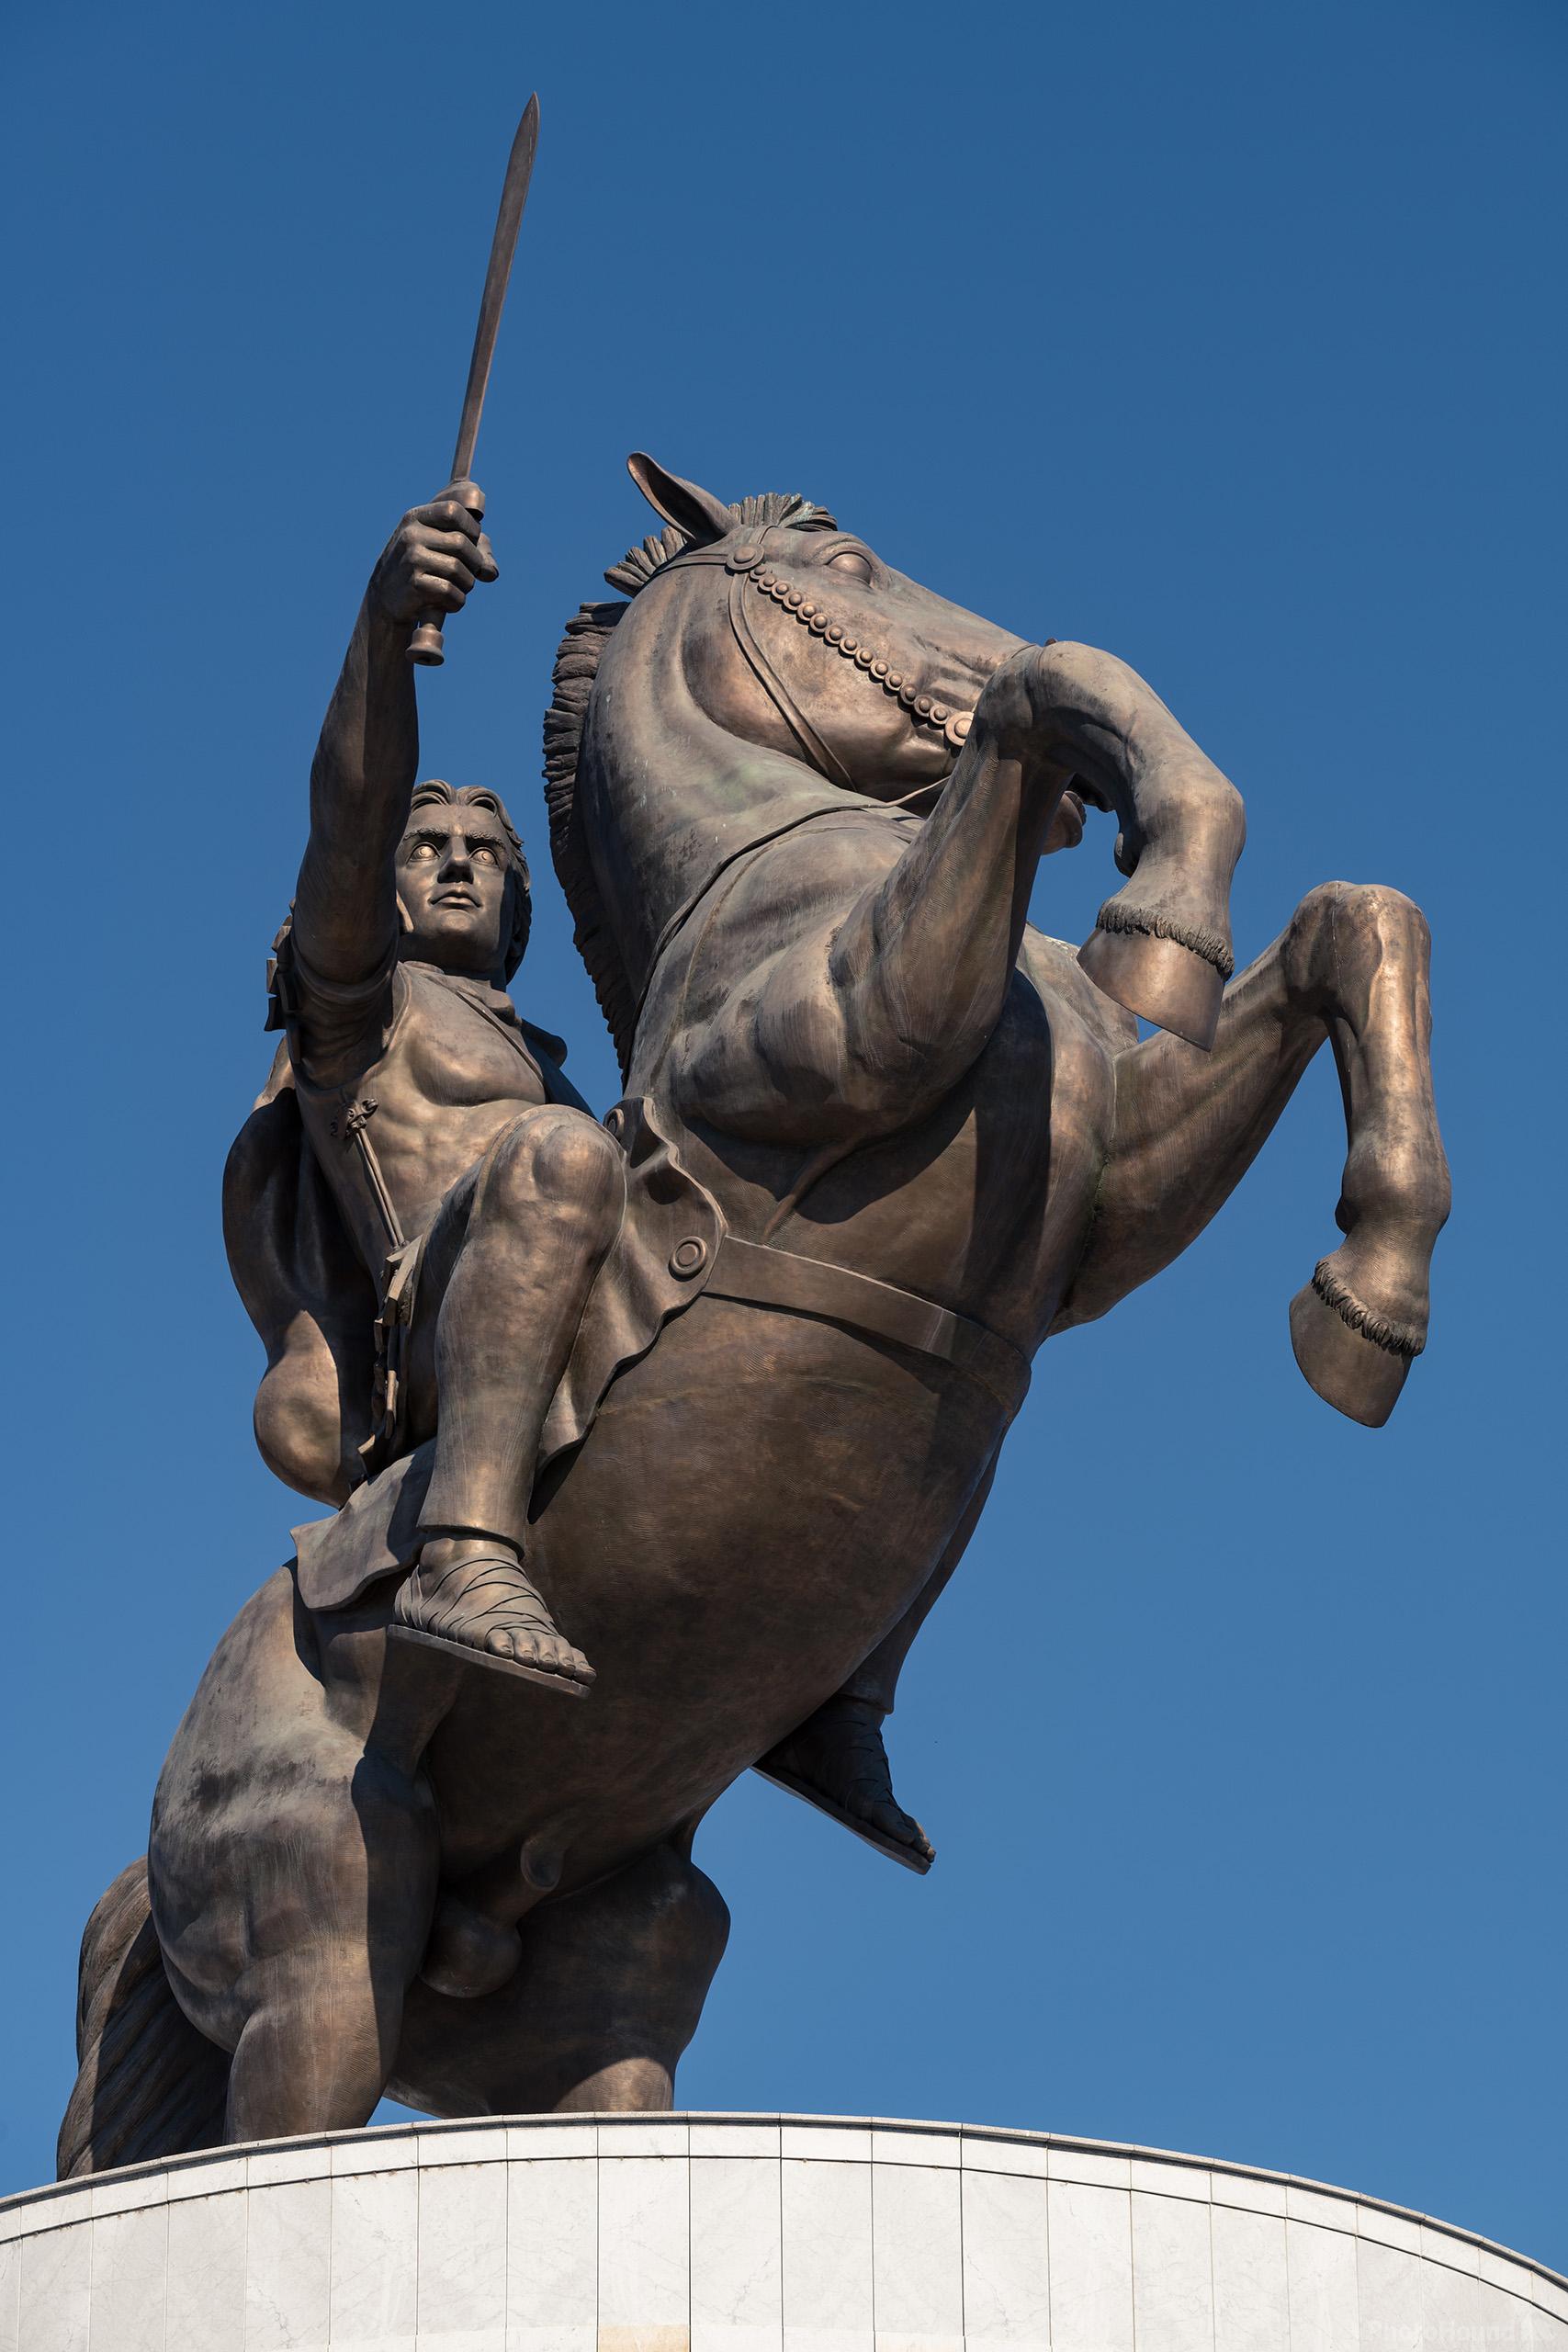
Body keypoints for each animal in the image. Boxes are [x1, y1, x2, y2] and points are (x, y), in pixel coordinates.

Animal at [58, 448, 1448, 2173]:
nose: (449, 874)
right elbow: (1057, 683)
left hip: (619, 1962)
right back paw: (485, 1609)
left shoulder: (1105, 1208)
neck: (769, 869)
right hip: (317, 1940)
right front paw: (1162, 901)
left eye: (476, 858)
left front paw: (1366, 1297)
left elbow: (1353, 918)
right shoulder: (861, 1028)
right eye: (848, 568)